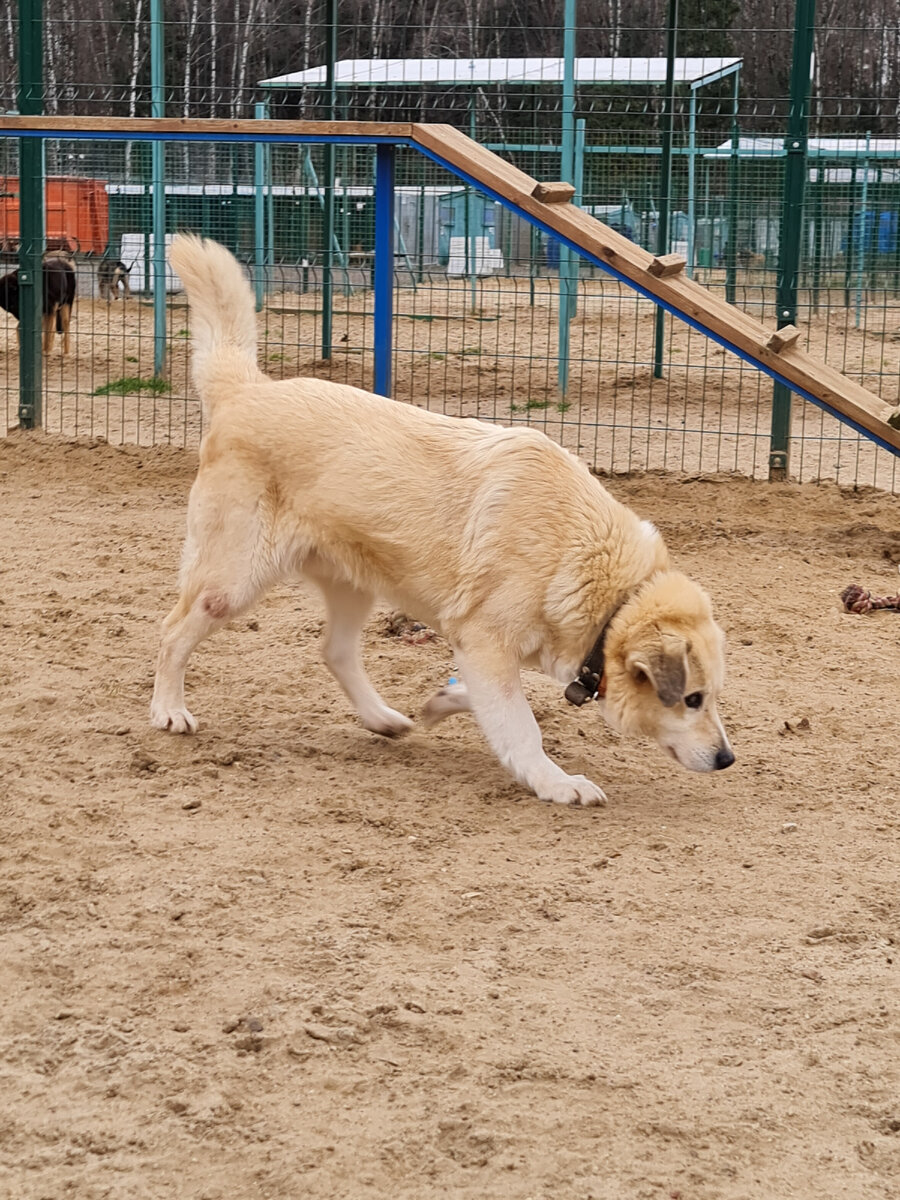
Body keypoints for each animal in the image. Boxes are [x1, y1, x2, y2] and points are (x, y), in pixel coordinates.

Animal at [151, 231, 734, 806]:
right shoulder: (486, 644)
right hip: (231, 582)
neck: (592, 566)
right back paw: (169, 711)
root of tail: (246, 389)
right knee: (173, 632)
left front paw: (439, 705)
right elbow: (522, 727)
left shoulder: (483, 656)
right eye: (692, 698)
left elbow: (485, 703)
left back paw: (383, 719)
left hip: (352, 584)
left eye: (711, 696)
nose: (727, 759)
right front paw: (556, 783)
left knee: (334, 652)